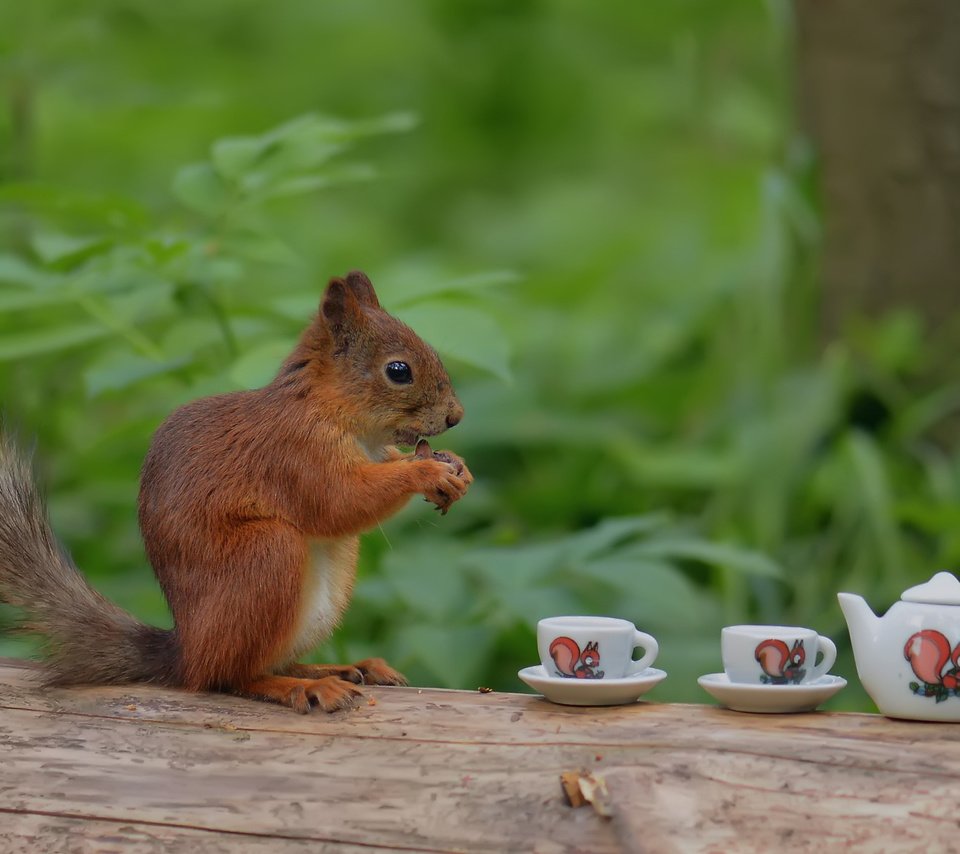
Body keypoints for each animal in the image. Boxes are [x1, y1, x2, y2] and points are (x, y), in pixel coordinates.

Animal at [0, 270, 472, 712]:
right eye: (398, 371)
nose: (456, 417)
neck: (332, 409)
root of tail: (186, 654)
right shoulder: (294, 453)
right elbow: (338, 502)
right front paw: (425, 471)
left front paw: (455, 466)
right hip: (266, 553)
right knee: (229, 677)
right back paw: (305, 686)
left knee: (269, 661)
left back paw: (342, 667)